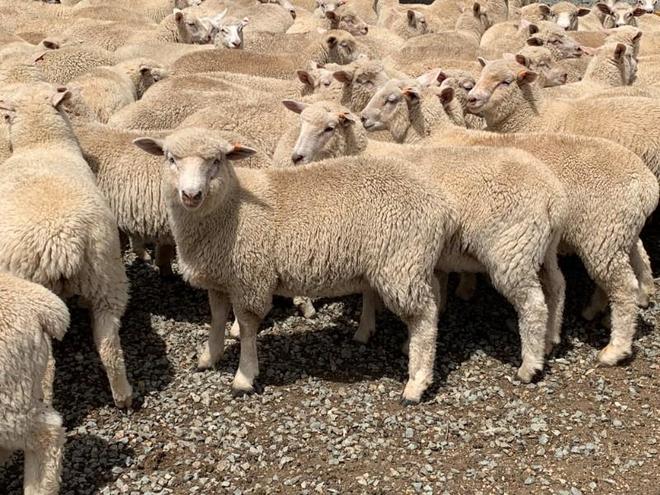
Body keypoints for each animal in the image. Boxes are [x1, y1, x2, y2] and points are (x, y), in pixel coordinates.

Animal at [0, 82, 132, 408]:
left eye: (7, 115)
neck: (42, 144)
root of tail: (63, 243)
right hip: (105, 275)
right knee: (108, 344)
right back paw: (123, 396)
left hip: (38, 296)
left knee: (47, 369)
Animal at [133, 127, 456, 404]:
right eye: (170, 159)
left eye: (216, 160)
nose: (191, 195)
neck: (232, 207)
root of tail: (440, 203)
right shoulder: (220, 277)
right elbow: (217, 316)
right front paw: (209, 356)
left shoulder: (251, 278)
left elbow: (247, 327)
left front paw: (244, 377)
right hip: (411, 262)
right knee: (431, 296)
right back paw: (391, 341)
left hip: (400, 264)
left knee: (424, 316)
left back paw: (416, 382)